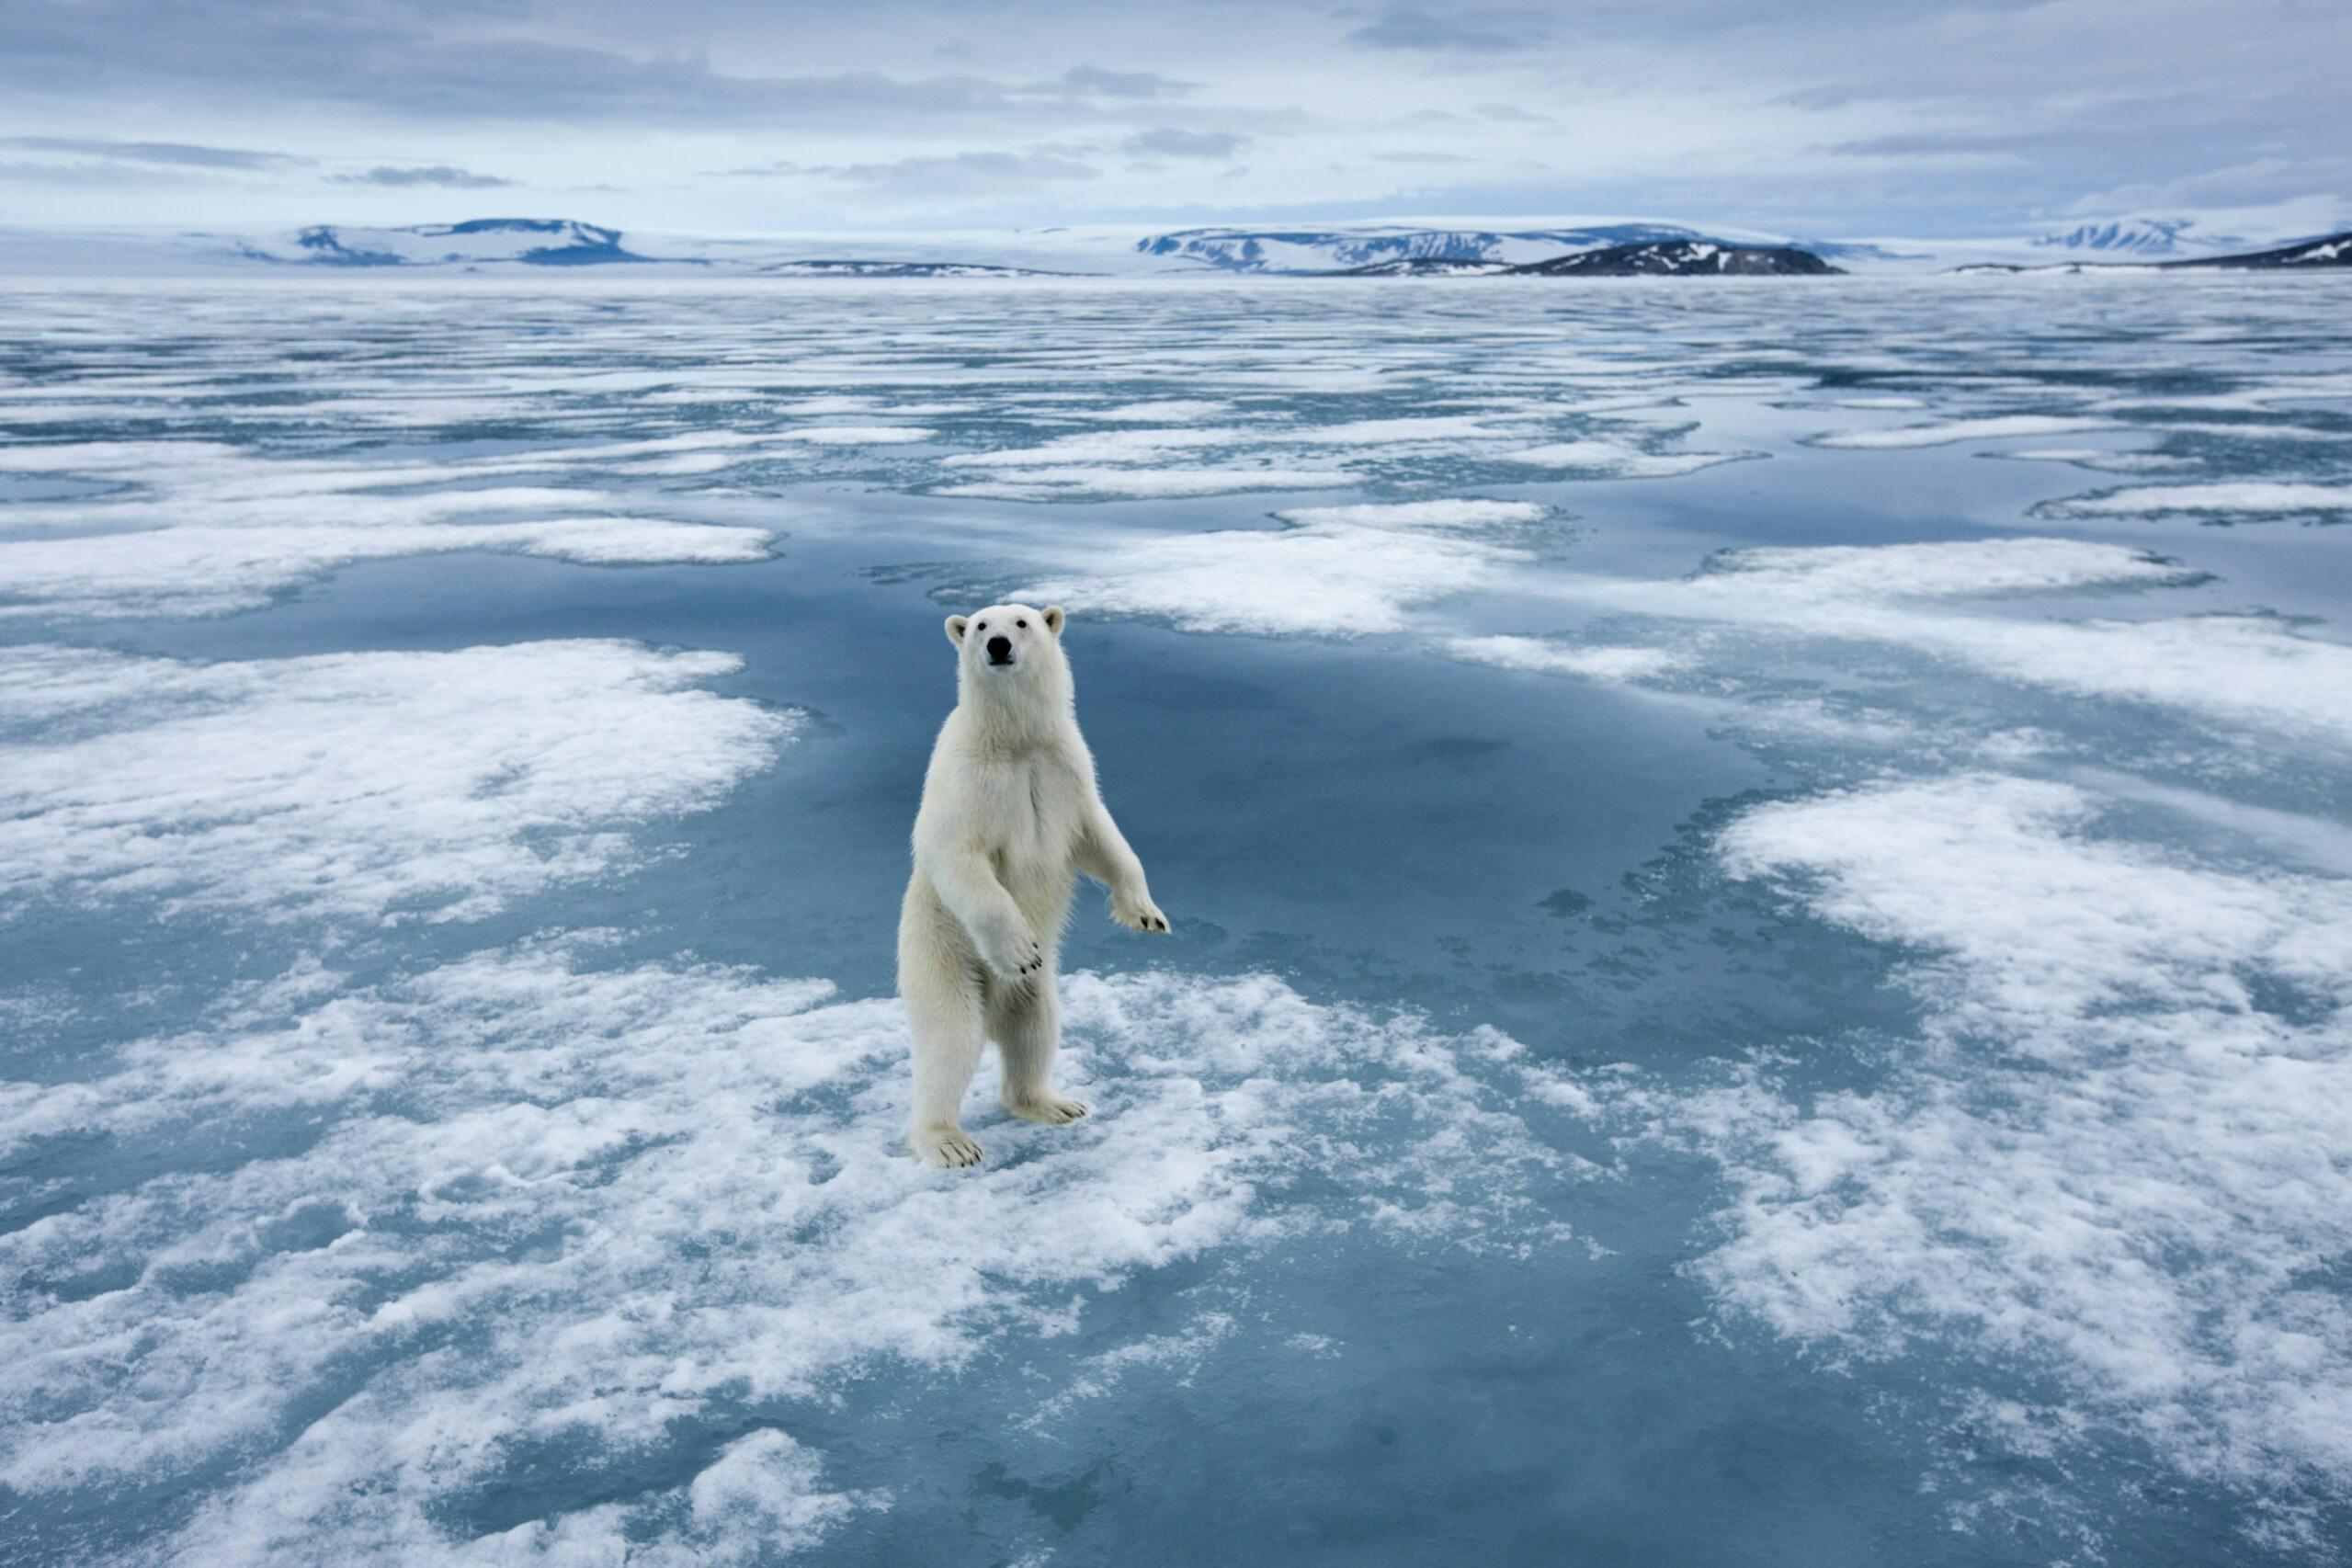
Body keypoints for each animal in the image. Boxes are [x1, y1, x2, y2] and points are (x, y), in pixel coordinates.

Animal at [898, 602, 1169, 1169]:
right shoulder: (966, 779)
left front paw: (1146, 913)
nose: (998, 645)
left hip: (1035, 994)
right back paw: (948, 1141)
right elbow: (957, 855)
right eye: (980, 625)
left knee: (1035, 1029)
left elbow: (1100, 835)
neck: (1014, 742)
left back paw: (1052, 1102)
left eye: (1021, 622)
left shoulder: (1065, 766)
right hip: (941, 954)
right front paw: (1021, 948)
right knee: (950, 1042)